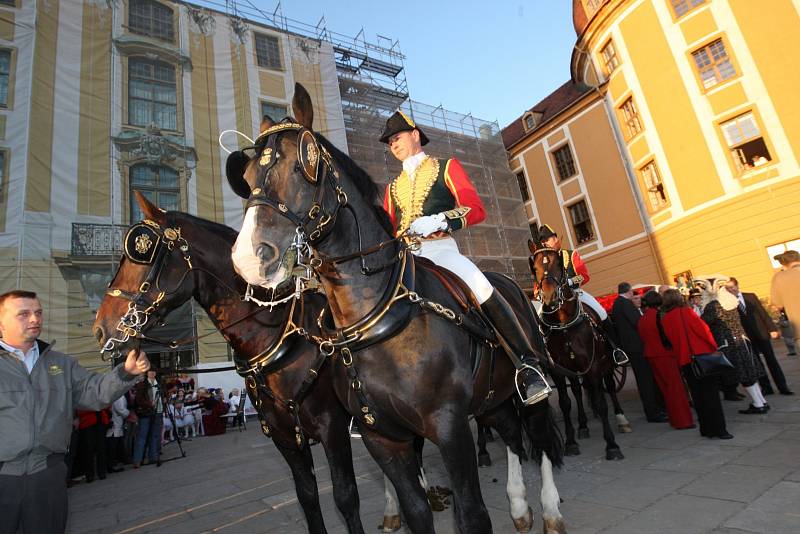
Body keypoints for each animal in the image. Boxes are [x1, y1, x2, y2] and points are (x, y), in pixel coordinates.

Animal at [93, 194, 366, 534]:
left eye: (141, 252)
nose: (101, 328)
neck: (280, 335)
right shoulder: (286, 438)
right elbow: (308, 498)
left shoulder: (333, 427)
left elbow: (345, 497)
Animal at [225, 85, 568, 534]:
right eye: (247, 178)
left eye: (303, 166)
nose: (249, 259)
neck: (377, 320)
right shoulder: (384, 439)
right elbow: (416, 511)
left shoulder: (450, 428)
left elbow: (472, 515)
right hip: (493, 399)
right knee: (512, 434)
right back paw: (519, 505)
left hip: (528, 389)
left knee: (541, 439)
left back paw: (549, 510)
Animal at [528, 239, 628, 460]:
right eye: (535, 267)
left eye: (558, 264)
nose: (548, 297)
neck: (564, 325)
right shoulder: (559, 372)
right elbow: (566, 403)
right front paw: (571, 442)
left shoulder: (594, 367)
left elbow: (601, 402)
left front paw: (612, 445)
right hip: (573, 371)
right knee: (577, 391)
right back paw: (582, 426)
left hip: (607, 364)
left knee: (610, 388)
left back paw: (621, 418)